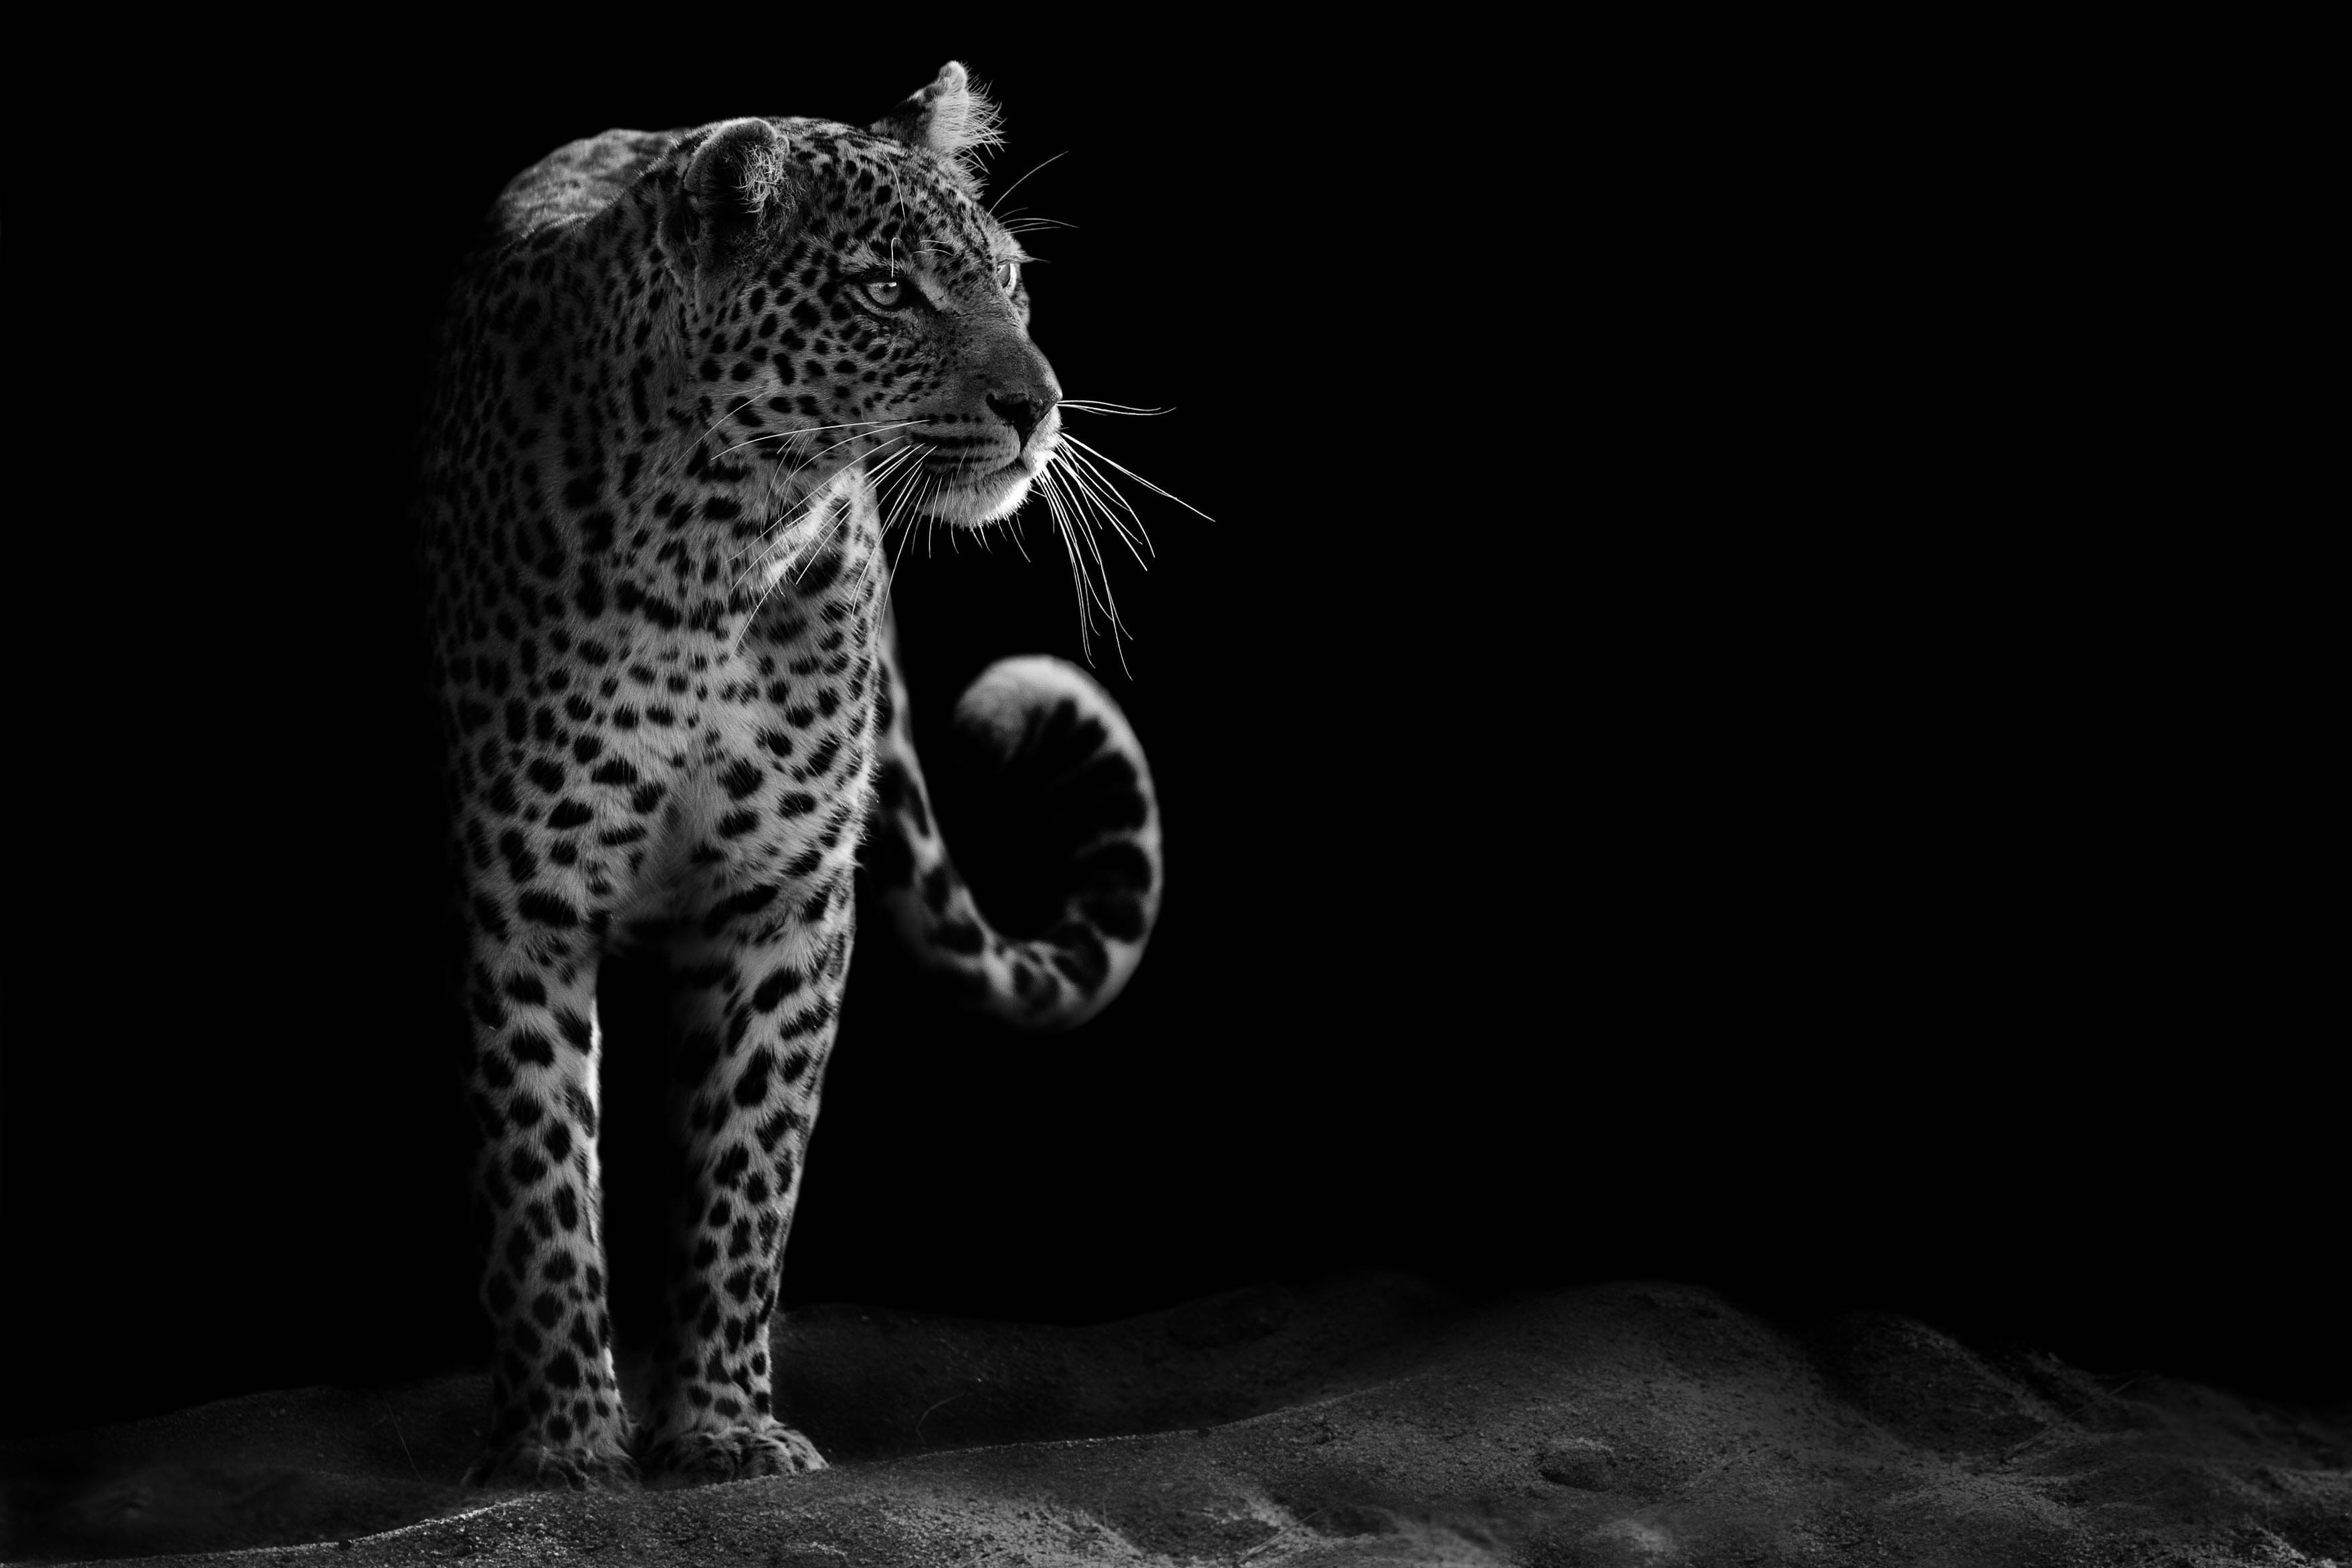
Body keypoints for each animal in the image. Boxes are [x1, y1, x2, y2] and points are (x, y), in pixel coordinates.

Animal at [416, 62, 1163, 1489]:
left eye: (1008, 278)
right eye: (885, 289)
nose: (1038, 405)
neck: (717, 538)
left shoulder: (784, 893)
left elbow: (746, 1167)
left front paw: (720, 1422)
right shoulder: (524, 887)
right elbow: (539, 1167)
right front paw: (561, 1439)